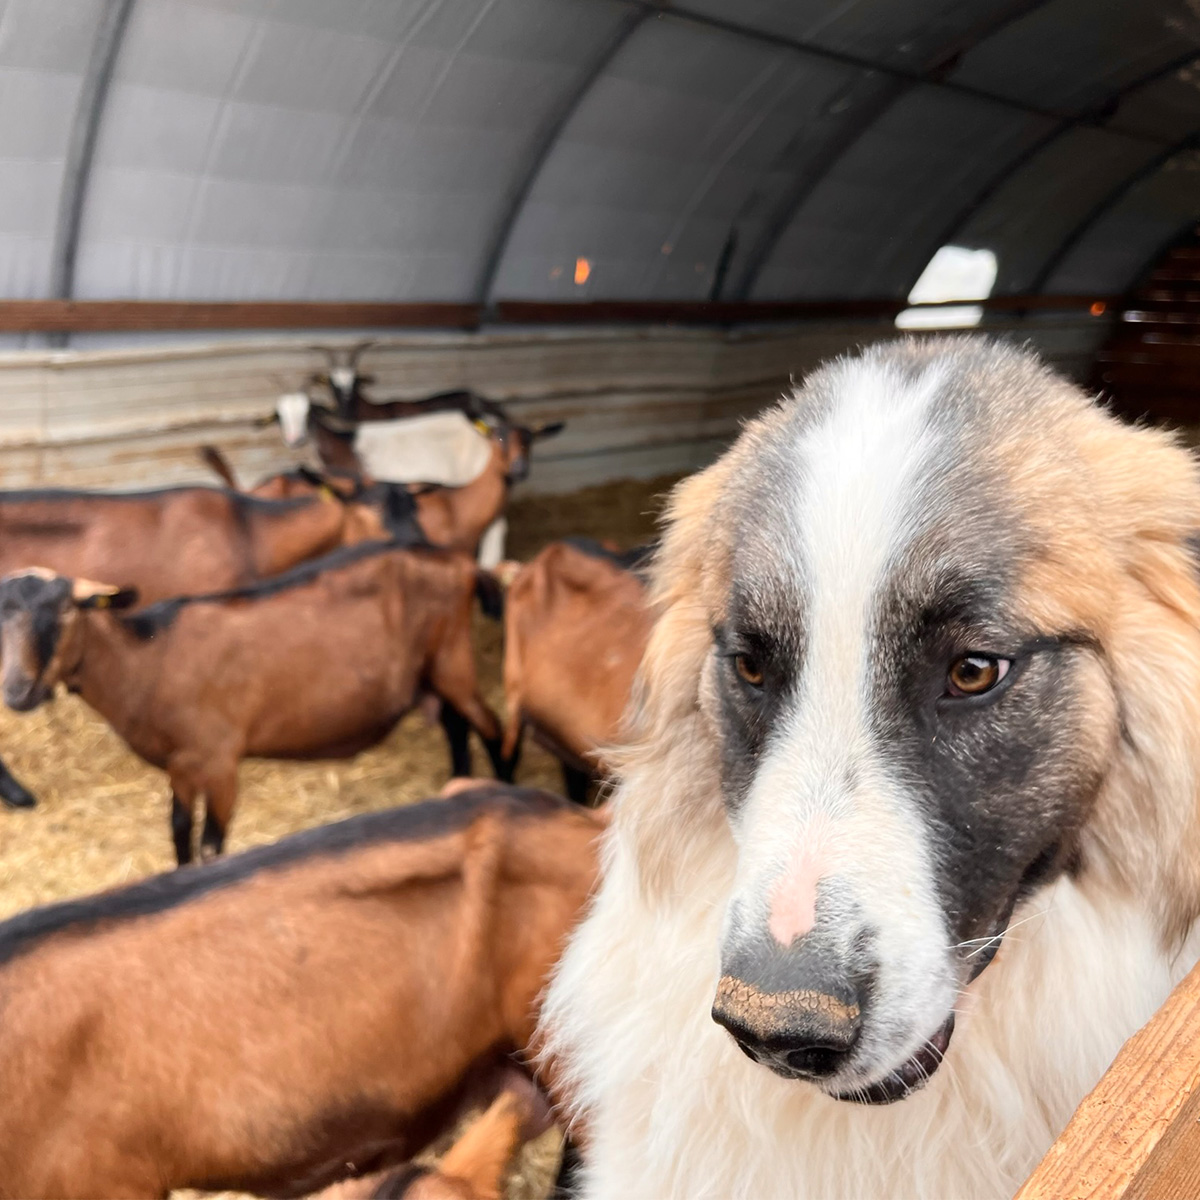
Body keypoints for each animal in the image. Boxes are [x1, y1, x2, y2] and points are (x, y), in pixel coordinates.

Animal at [0, 544, 506, 864]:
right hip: (434, 671)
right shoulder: (181, 765)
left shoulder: (222, 762)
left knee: (491, 727)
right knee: (457, 726)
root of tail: (462, 562)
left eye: (67, 610)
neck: (147, 659)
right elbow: (180, 833)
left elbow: (210, 845)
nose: (18, 691)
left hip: (452, 660)